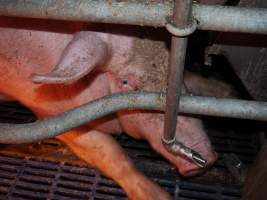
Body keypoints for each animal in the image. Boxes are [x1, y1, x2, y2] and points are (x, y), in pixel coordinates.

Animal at [0, 16, 234, 199]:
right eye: (126, 82)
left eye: (171, 65)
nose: (206, 158)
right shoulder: (51, 115)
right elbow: (111, 153)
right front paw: (159, 196)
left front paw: (227, 91)